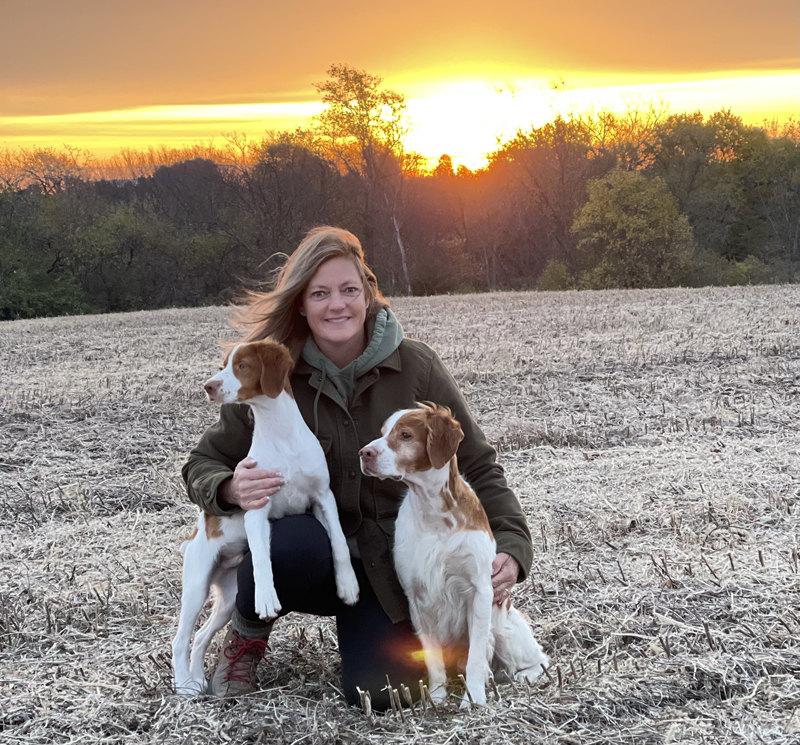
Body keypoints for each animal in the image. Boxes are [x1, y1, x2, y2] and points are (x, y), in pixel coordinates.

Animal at [173, 340, 360, 696]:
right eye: (224, 365)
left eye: (243, 365)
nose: (208, 386)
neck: (281, 435)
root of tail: (197, 533)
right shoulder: (256, 509)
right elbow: (261, 558)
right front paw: (266, 598)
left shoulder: (323, 499)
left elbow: (340, 544)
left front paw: (348, 585)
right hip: (196, 584)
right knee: (180, 638)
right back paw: (183, 685)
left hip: (228, 597)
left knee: (201, 637)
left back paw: (197, 679)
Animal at [360, 404, 548, 708]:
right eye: (382, 432)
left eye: (405, 435)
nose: (364, 453)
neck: (434, 515)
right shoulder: (416, 597)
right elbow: (433, 659)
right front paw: (437, 697)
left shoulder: (480, 591)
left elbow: (476, 657)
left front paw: (474, 699)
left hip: (506, 631)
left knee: (538, 658)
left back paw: (524, 676)